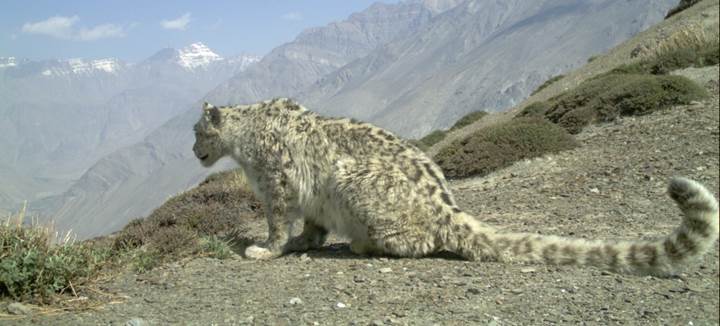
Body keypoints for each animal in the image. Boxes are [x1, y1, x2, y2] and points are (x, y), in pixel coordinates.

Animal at [193, 98, 720, 276]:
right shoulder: (308, 201)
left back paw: (365, 244)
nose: (193, 150)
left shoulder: (276, 186)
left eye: (197, 131)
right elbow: (312, 226)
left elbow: (277, 224)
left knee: (420, 242)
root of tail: (446, 205)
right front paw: (306, 242)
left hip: (350, 180)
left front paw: (266, 249)